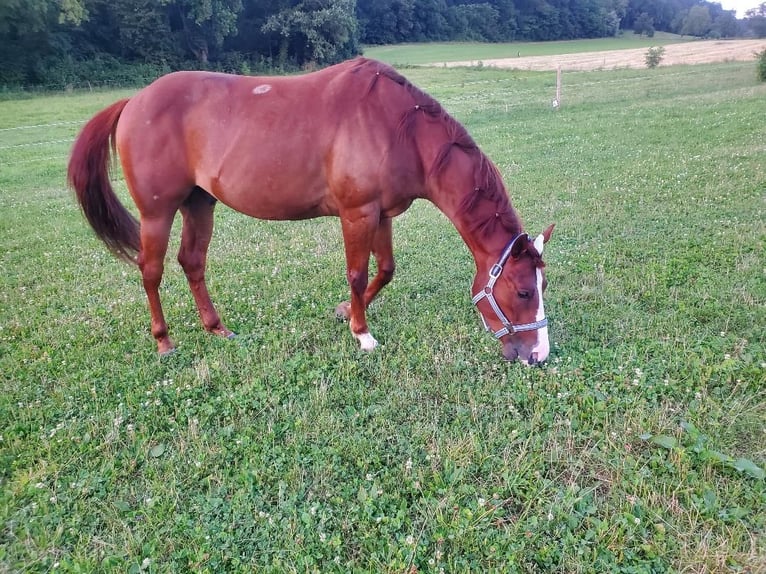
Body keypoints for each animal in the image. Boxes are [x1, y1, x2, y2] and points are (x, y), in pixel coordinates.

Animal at [67, 57, 560, 364]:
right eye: (522, 292)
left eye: (542, 286)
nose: (539, 355)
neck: (399, 127)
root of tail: (134, 101)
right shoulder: (357, 213)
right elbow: (358, 273)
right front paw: (362, 333)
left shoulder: (382, 214)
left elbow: (385, 269)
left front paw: (345, 312)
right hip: (158, 213)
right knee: (151, 271)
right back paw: (164, 341)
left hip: (199, 203)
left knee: (192, 263)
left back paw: (216, 328)